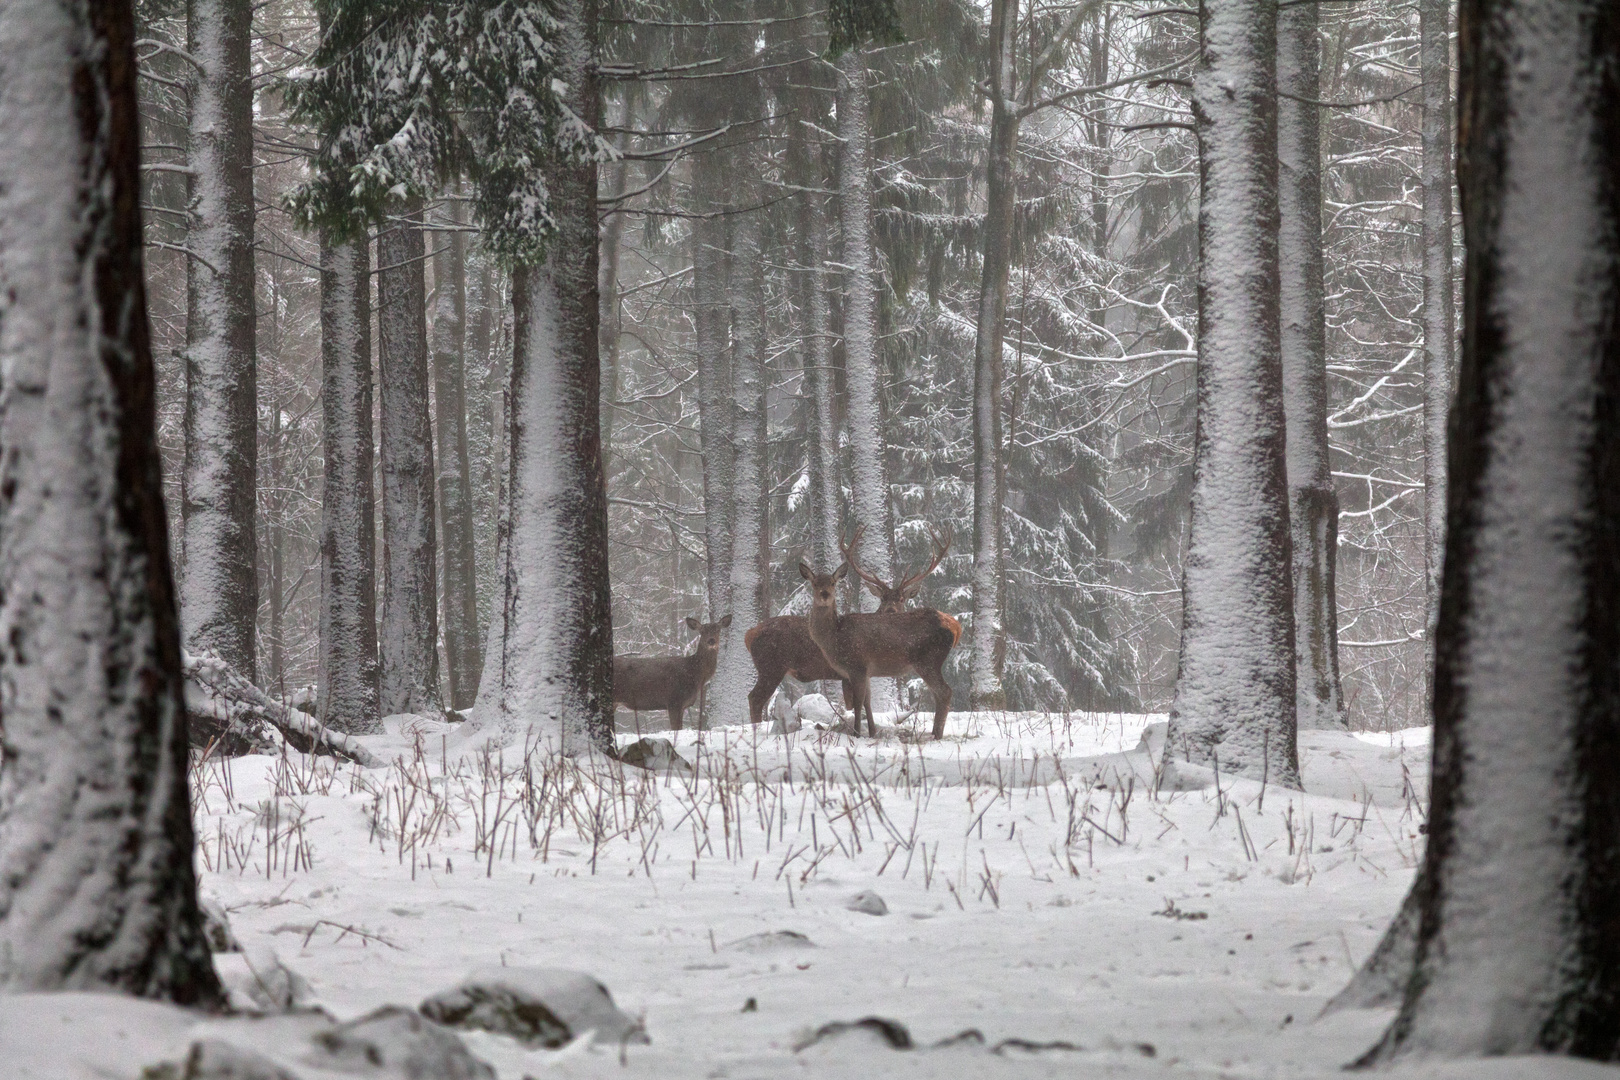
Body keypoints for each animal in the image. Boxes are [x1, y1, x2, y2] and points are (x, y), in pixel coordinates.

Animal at [741, 524, 952, 725]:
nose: (891, 611)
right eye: (883, 598)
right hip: (770, 665)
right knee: (755, 698)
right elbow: (854, 705)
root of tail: (750, 633)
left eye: (902, 599)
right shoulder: (848, 674)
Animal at [800, 527, 959, 738]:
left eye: (833, 583)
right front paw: (872, 732)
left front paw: (857, 733)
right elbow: (867, 701)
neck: (834, 637)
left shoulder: (856, 665)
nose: (824, 594)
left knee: (944, 691)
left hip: (928, 660)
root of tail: (955, 626)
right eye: (814, 583)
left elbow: (858, 702)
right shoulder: (866, 671)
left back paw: (936, 735)